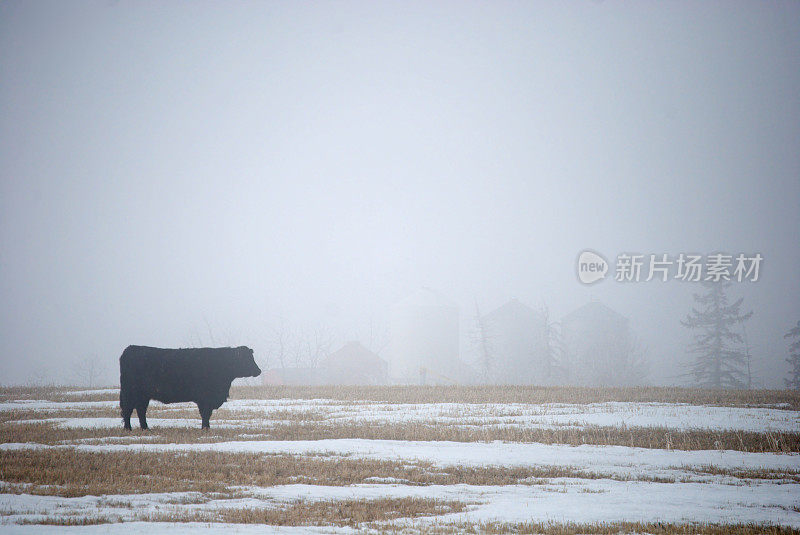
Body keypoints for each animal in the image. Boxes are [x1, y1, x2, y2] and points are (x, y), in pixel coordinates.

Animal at [118, 348, 260, 432]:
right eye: (246, 358)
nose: (258, 371)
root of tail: (130, 349)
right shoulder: (205, 398)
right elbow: (205, 414)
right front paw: (205, 428)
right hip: (130, 393)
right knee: (128, 410)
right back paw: (128, 429)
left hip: (142, 396)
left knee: (140, 410)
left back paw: (145, 428)